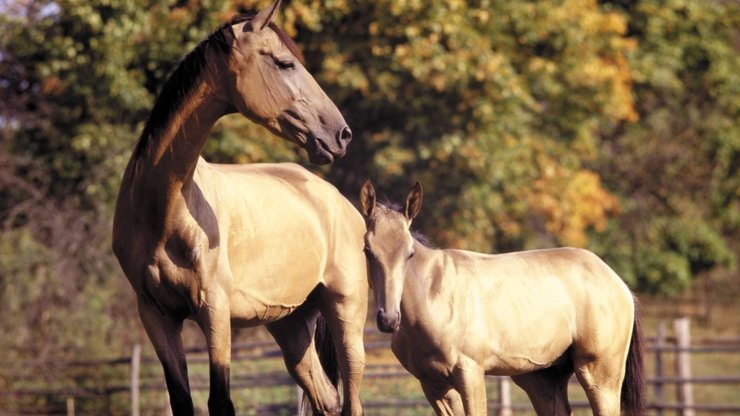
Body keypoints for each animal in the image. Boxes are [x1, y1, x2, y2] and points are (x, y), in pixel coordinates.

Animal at [112, 1, 368, 414]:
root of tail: (338, 201)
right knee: (327, 398)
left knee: (352, 399)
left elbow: (221, 401)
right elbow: (182, 401)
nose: (340, 134)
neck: (163, 210)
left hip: (347, 314)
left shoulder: (214, 311)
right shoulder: (156, 316)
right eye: (285, 64)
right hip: (291, 325)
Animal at [356, 180, 640, 414]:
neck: (435, 299)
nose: (388, 319)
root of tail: (618, 283)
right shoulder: (433, 385)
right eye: (367, 250)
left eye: (410, 253)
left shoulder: (470, 375)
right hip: (542, 380)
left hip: (599, 375)